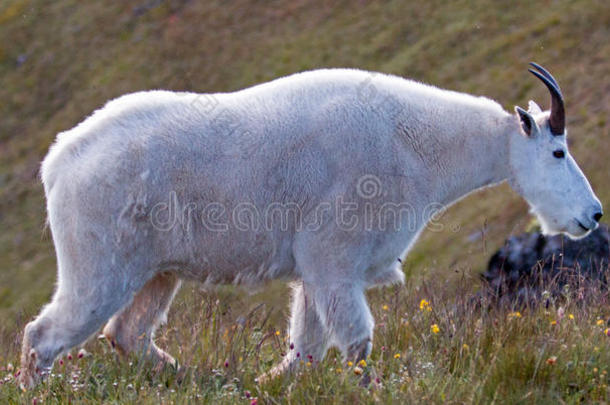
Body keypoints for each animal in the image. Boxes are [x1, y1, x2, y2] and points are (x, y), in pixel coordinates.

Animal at [16, 62, 600, 386]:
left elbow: (307, 343)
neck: (417, 144)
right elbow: (355, 338)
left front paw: (271, 381)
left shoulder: (316, 268)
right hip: (100, 250)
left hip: (156, 266)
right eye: (557, 151)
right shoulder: (335, 248)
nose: (593, 215)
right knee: (47, 333)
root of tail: (59, 160)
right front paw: (370, 387)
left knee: (127, 332)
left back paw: (193, 376)